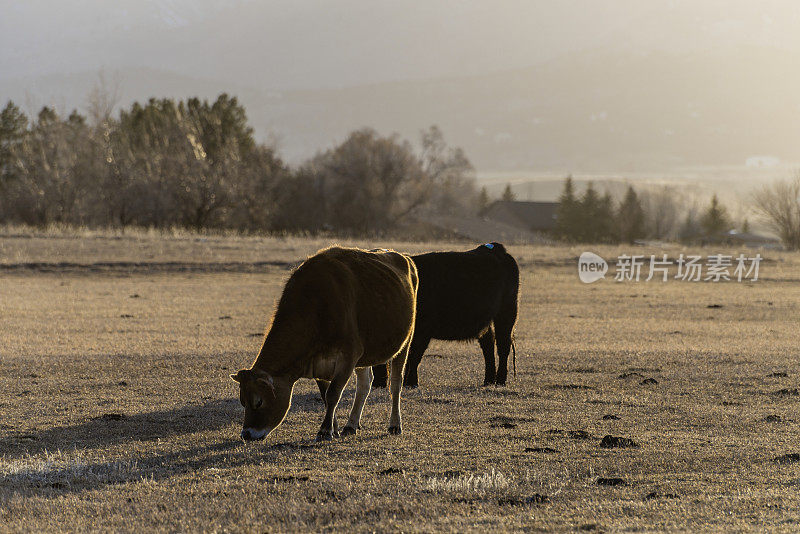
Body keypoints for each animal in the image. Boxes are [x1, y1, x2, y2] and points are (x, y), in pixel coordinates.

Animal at [231, 247, 418, 444]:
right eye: (242, 401)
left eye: (258, 401)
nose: (246, 434)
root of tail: (402, 256)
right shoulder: (320, 365)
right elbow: (326, 396)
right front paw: (333, 429)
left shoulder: (348, 356)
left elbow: (333, 394)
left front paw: (325, 430)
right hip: (365, 356)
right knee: (364, 384)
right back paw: (351, 425)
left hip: (405, 342)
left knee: (396, 383)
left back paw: (395, 425)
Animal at [374, 244, 520, 390]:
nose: (378, 385)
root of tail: (493, 248)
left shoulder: (423, 331)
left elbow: (414, 356)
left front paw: (410, 383)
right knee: (488, 345)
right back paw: (488, 381)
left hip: (507, 312)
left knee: (503, 345)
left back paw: (500, 381)